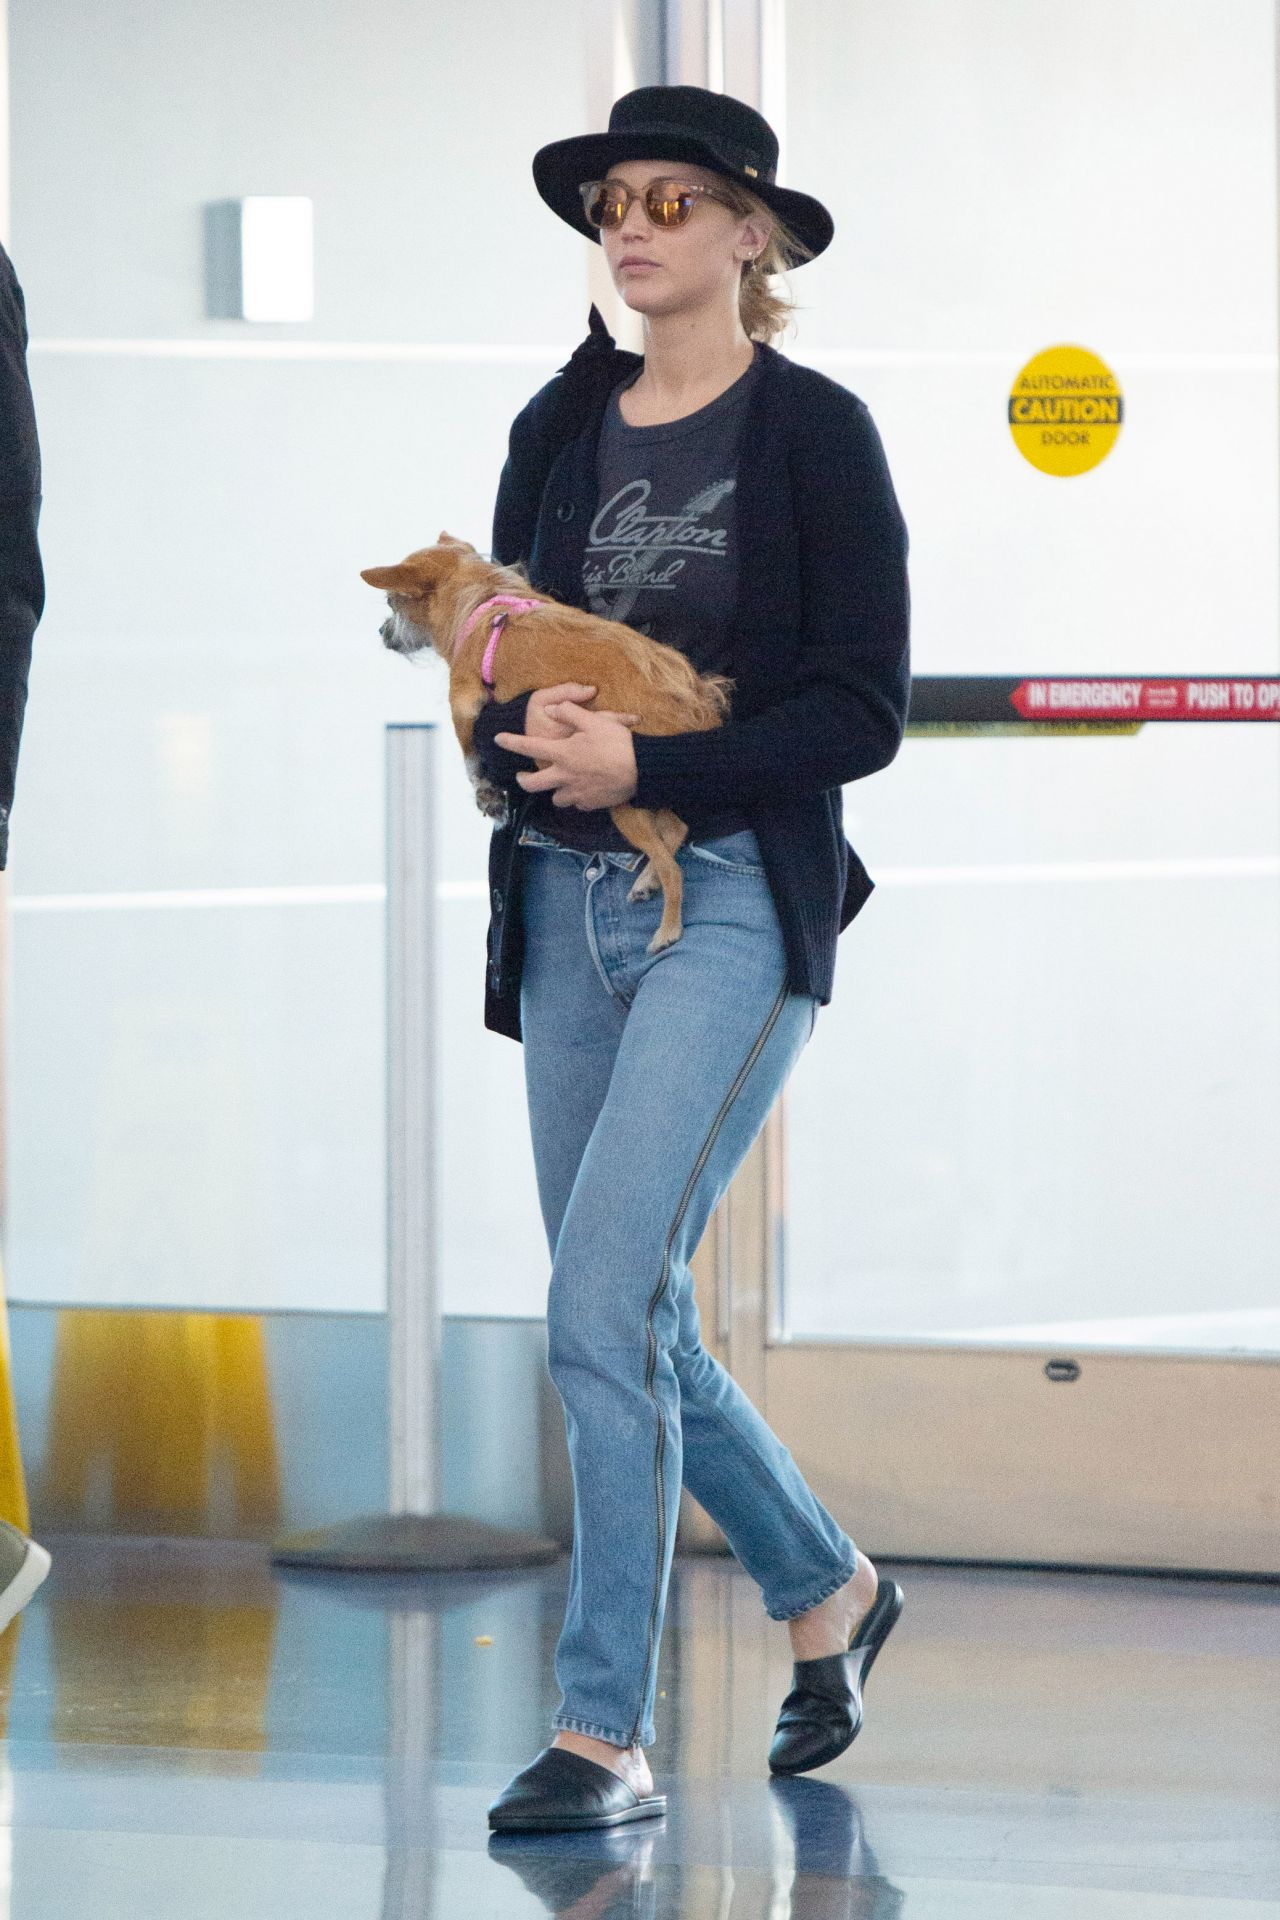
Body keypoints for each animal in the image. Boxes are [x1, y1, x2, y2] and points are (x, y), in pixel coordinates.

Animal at [364, 533, 736, 952]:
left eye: (392, 603)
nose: (381, 632)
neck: (482, 601)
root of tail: (694, 709)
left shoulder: (463, 703)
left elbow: (469, 751)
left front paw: (486, 793)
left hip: (622, 798)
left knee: (674, 866)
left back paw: (666, 929)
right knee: (676, 830)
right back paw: (646, 881)